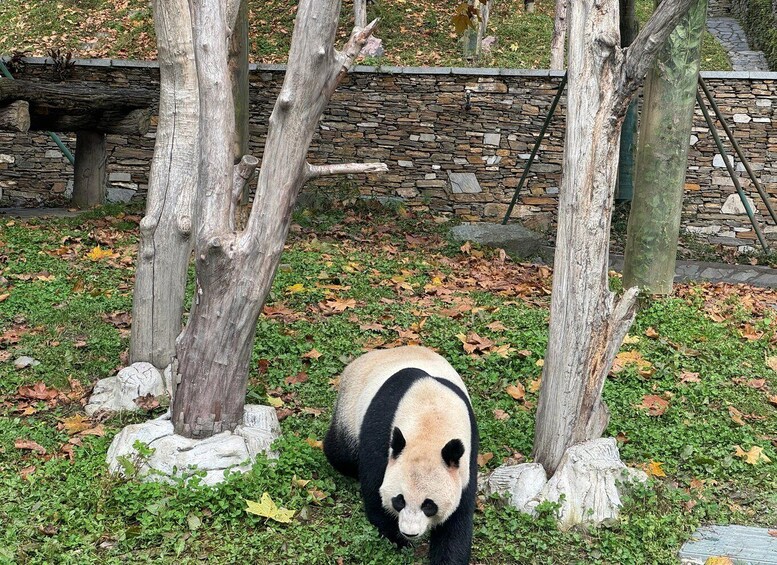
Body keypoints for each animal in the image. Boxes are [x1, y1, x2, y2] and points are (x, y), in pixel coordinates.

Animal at [324, 346, 478, 565]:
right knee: (341, 453)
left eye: (429, 505)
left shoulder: (465, 457)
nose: (410, 532)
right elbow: (374, 489)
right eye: (400, 500)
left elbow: (457, 518)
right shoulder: (383, 431)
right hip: (350, 408)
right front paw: (398, 540)